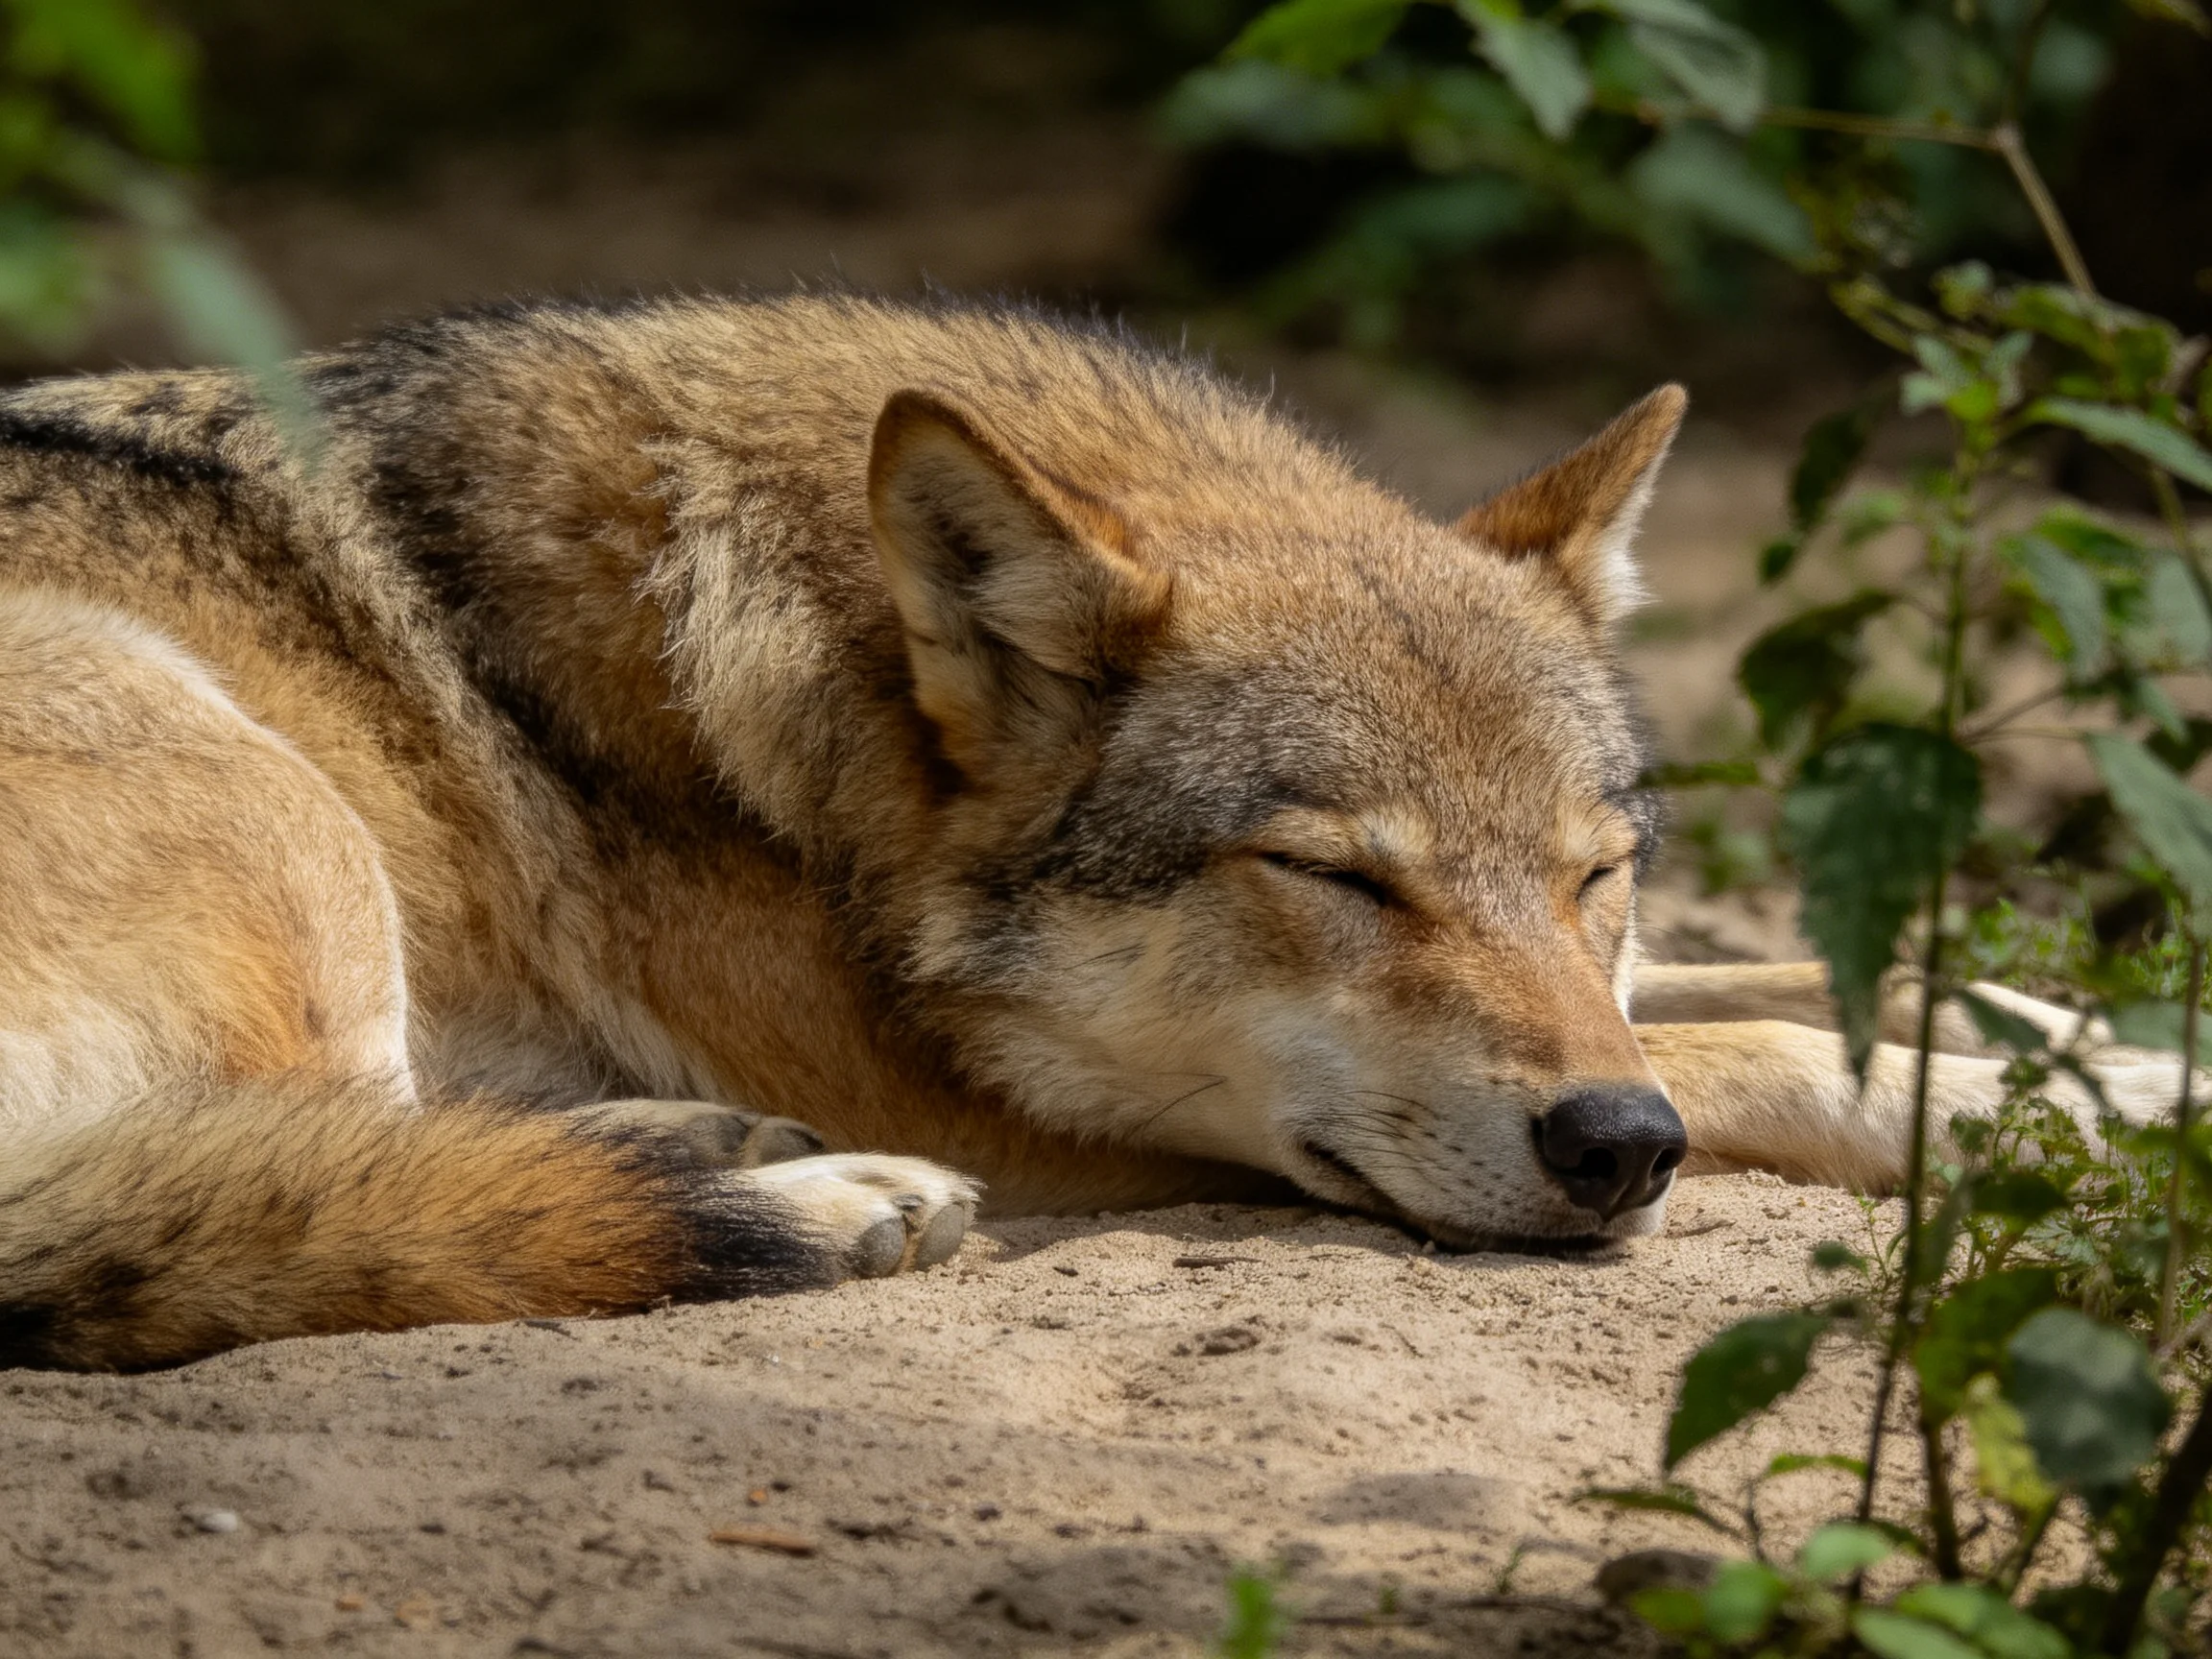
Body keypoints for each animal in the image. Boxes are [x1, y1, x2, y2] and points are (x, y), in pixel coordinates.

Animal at [0, 293, 2187, 1370]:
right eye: (1334, 877)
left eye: (1598, 874)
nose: (1614, 1152)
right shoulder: (990, 1099)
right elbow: (1767, 1042)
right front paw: (2004, 1109)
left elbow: (1814, 971)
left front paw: (2121, 1059)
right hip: (273, 813)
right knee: (268, 1187)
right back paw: (790, 1198)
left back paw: (708, 1153)